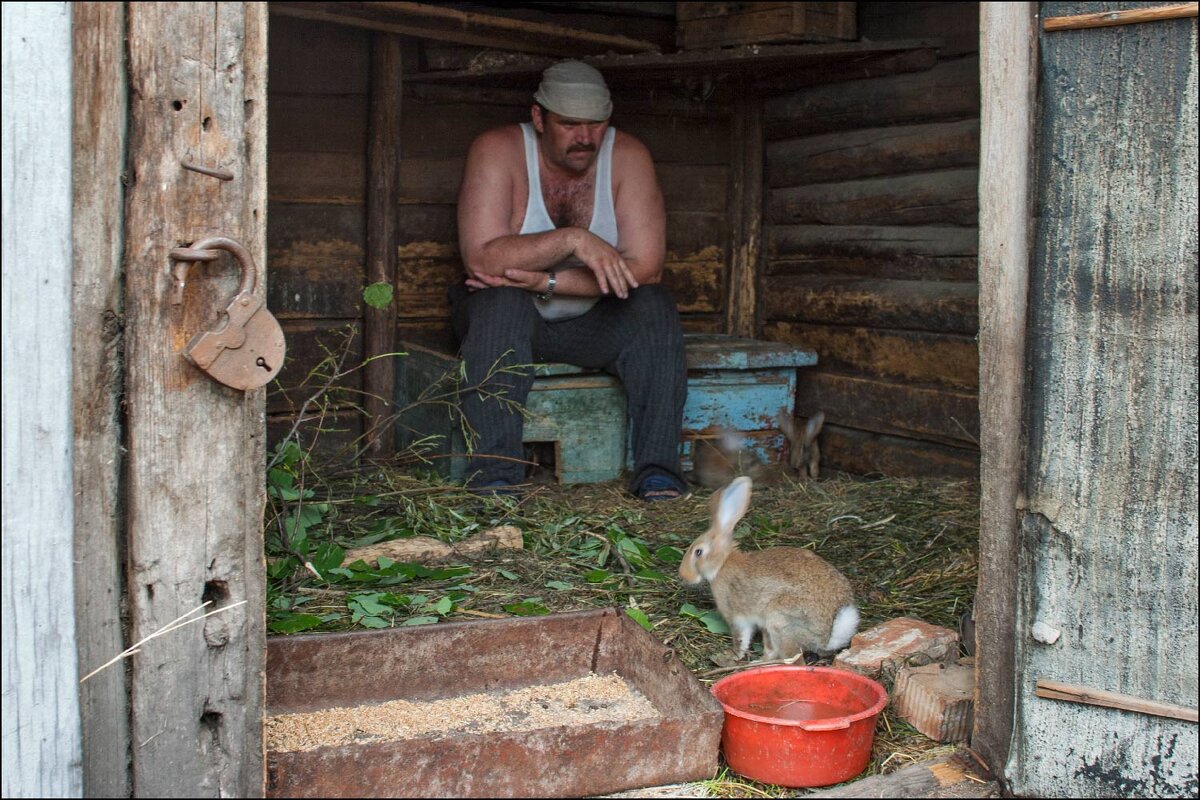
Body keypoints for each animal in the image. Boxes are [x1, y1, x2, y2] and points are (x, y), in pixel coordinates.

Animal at [681, 479, 859, 662]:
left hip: (778, 619)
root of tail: (827, 637)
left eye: (698, 552)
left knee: (791, 657)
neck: (721, 563)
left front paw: (731, 657)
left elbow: (740, 639)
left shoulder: (736, 617)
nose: (683, 575)